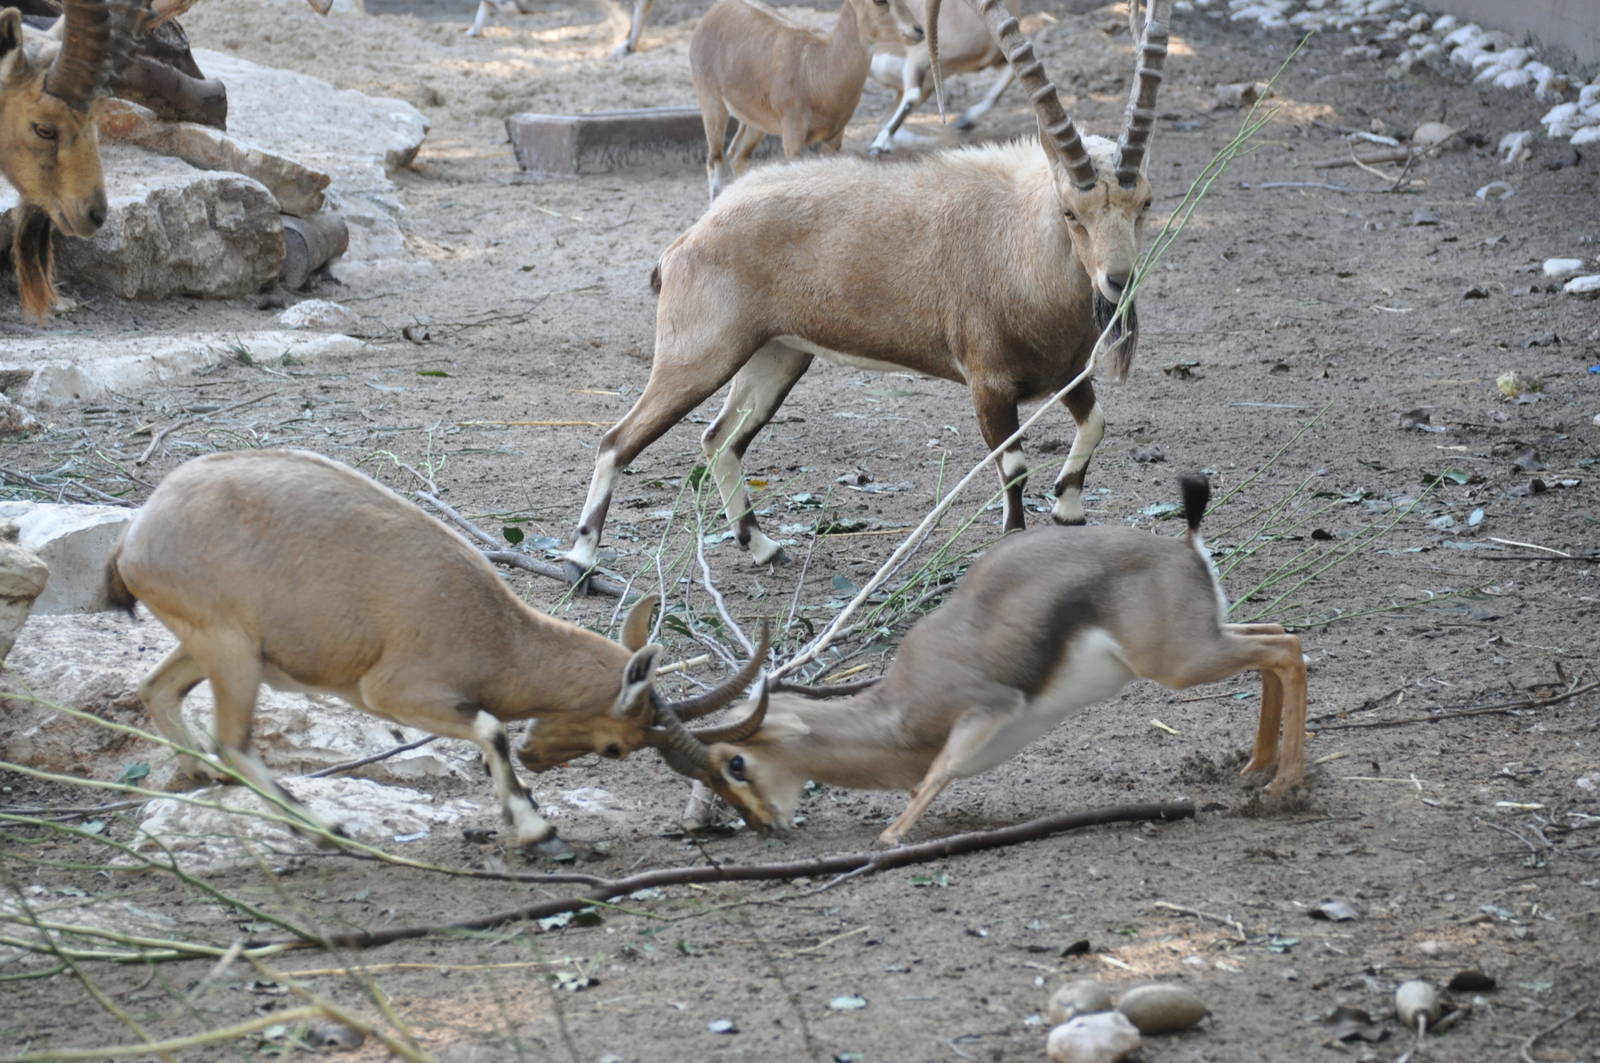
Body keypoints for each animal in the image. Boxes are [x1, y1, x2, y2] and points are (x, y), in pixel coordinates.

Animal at [105, 449, 765, 862]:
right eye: (616, 747)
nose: (537, 756)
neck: (495, 634)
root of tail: (138, 534)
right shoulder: (398, 693)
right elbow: (490, 727)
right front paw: (540, 833)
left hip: (212, 645)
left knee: (158, 690)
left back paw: (199, 776)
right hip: (231, 652)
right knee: (234, 743)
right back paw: (330, 830)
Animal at [650, 476, 1309, 845]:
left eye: (735, 764)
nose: (764, 824)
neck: (896, 716)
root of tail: (1184, 546)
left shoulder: (987, 710)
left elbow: (938, 773)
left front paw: (891, 835)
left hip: (1178, 662)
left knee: (1286, 649)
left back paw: (1282, 788)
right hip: (1204, 641)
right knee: (1280, 636)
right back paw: (1256, 769)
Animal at [691, 0, 926, 201]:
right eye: (879, 1)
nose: (918, 30)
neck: (818, 70)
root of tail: (711, 14)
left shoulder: (835, 136)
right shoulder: (793, 134)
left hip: (755, 121)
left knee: (737, 155)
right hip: (710, 99)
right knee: (715, 159)